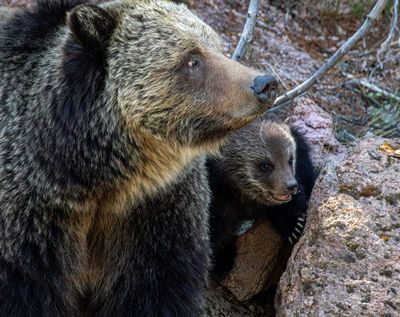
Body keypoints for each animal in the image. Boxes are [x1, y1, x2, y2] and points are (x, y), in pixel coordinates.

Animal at [0, 0, 278, 314]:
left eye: (216, 46)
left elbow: (156, 287)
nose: (264, 83)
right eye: (192, 59)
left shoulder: (154, 210)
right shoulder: (35, 217)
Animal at [206, 118, 316, 276]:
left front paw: (294, 225)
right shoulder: (218, 198)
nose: (291, 186)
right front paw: (221, 262)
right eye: (265, 165)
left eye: (290, 159)